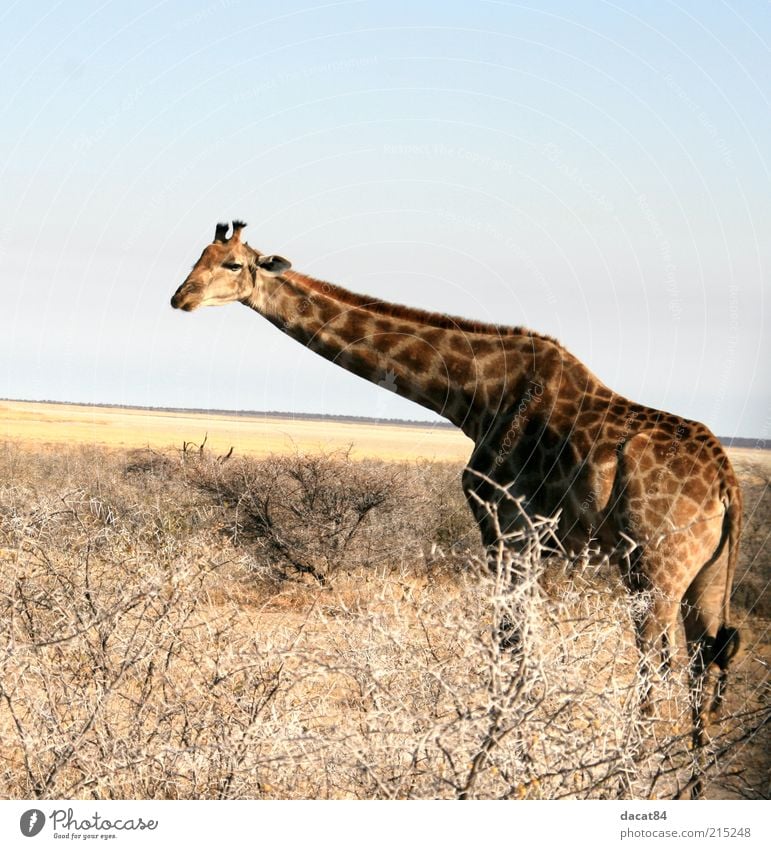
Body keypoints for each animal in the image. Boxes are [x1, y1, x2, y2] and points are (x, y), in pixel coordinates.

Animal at [173, 220, 740, 780]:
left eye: (232, 264)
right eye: (197, 257)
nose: (181, 298)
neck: (473, 396)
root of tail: (726, 483)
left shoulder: (508, 527)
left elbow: (511, 640)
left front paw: (501, 758)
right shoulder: (524, 539)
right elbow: (517, 640)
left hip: (655, 567)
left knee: (657, 663)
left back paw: (631, 772)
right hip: (704, 576)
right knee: (703, 662)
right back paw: (687, 779)